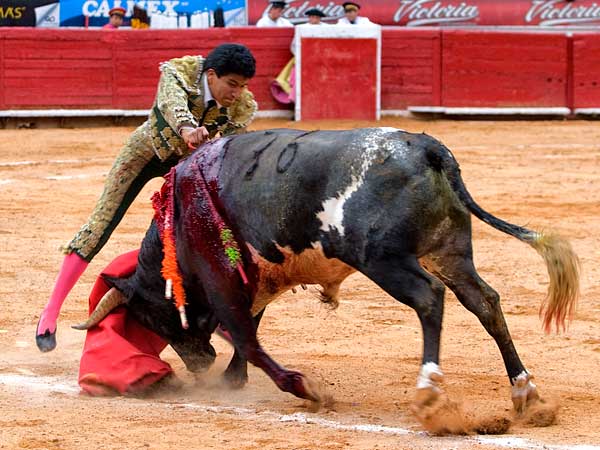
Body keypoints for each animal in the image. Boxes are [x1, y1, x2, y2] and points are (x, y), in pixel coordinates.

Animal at [75, 127, 579, 425]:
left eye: (154, 318)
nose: (199, 365)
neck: (177, 219)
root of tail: (427, 148)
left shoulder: (221, 281)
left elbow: (247, 336)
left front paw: (303, 388)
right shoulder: (256, 275)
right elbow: (250, 327)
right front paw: (233, 379)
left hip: (384, 260)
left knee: (429, 298)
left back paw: (429, 392)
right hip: (450, 251)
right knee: (485, 302)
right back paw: (526, 393)